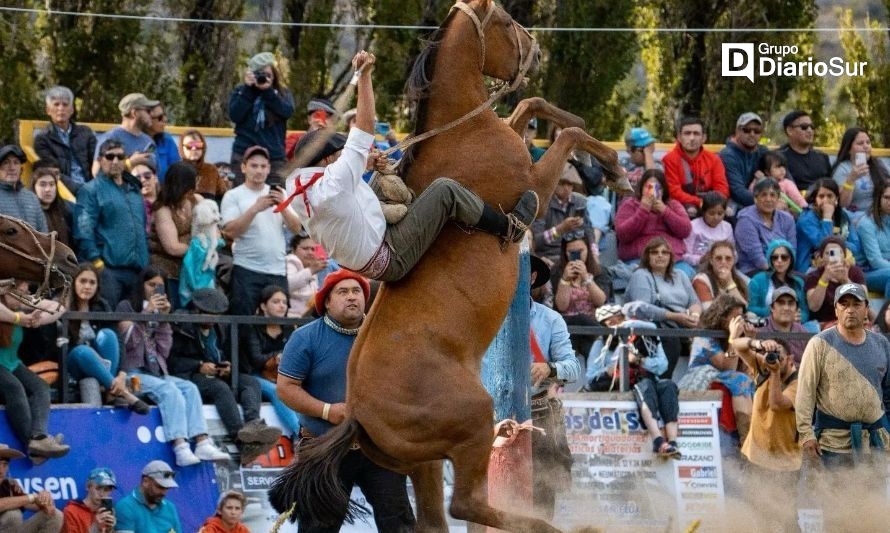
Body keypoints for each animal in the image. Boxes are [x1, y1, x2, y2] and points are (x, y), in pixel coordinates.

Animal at [268, 2, 620, 528]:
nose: (536, 50)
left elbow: (530, 106)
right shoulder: (535, 180)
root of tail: (357, 417)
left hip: (425, 461)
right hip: (473, 420)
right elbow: (567, 137)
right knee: (468, 503)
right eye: (504, 20)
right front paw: (616, 166)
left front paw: (570, 120)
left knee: (434, 519)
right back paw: (547, 524)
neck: (462, 129)